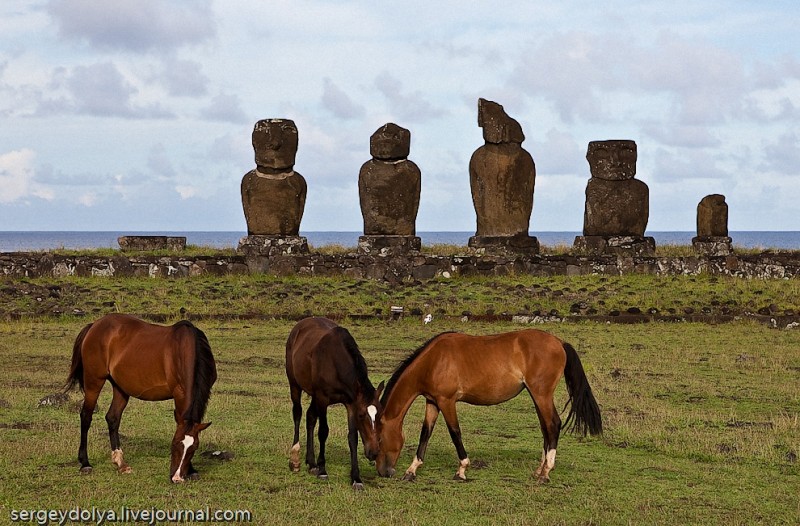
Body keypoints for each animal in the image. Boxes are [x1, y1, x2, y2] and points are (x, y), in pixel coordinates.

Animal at [65, 316, 216, 484]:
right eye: (175, 443)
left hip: (120, 387)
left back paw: (121, 463)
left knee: (113, 418)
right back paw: (85, 463)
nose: (176, 478)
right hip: (94, 381)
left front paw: (192, 470)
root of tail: (94, 326)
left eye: (194, 448)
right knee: (86, 416)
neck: (185, 350)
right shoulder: (179, 394)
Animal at [284, 316, 384, 492]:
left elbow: (352, 437)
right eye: (361, 415)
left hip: (314, 395)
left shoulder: (350, 403)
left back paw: (311, 463)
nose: (373, 453)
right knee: (298, 414)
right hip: (295, 385)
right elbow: (323, 431)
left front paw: (356, 478)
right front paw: (323, 470)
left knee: (310, 417)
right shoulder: (323, 399)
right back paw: (295, 459)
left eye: (379, 415)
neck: (335, 361)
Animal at [376, 332, 600, 484]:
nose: (383, 472)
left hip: (541, 394)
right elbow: (425, 433)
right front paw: (411, 470)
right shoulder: (432, 402)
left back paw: (545, 473)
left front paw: (462, 470)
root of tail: (559, 342)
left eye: (378, 439)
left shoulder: (447, 401)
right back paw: (540, 469)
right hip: (537, 396)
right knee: (546, 427)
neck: (434, 360)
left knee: (553, 424)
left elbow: (455, 432)